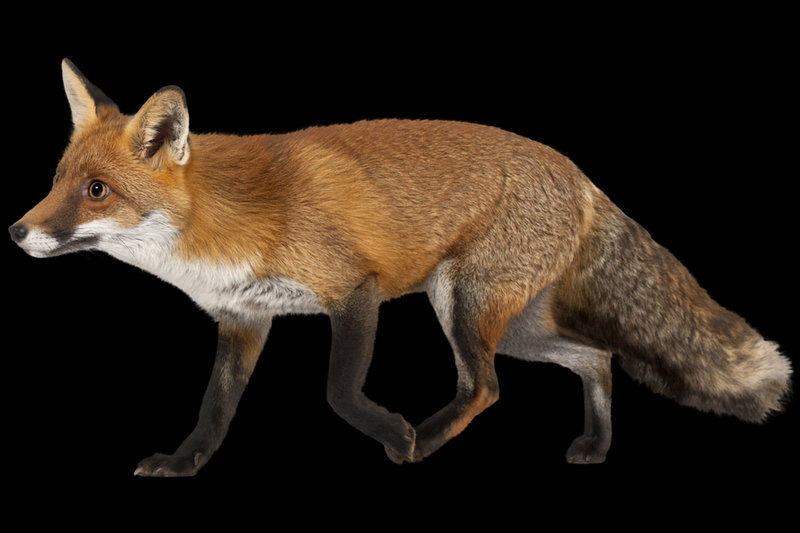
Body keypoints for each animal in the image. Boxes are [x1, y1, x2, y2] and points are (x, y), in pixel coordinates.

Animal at [9, 59, 792, 477]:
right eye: (56, 180)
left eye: (97, 191)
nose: (16, 231)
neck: (218, 224)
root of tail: (581, 176)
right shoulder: (244, 318)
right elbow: (214, 409)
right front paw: (183, 463)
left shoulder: (357, 291)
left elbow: (338, 391)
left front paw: (392, 432)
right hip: (514, 323)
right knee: (595, 356)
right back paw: (596, 445)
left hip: (463, 304)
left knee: (486, 387)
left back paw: (428, 438)